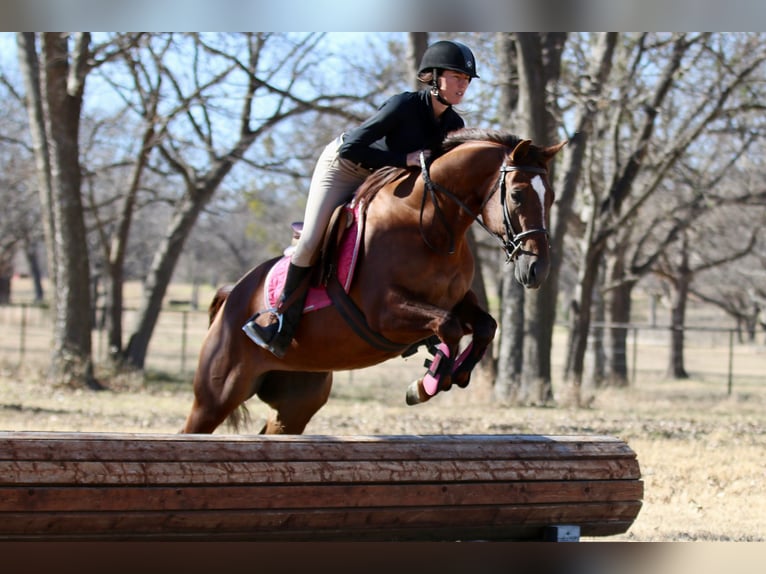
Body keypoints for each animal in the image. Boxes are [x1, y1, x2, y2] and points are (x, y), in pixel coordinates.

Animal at [182, 128, 566, 434]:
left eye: (551, 197)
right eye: (517, 195)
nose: (537, 269)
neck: (431, 225)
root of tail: (233, 294)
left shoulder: (455, 301)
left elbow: (484, 326)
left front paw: (449, 375)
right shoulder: (385, 314)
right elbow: (449, 327)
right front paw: (427, 383)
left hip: (298, 400)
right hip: (217, 395)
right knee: (195, 425)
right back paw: (269, 329)